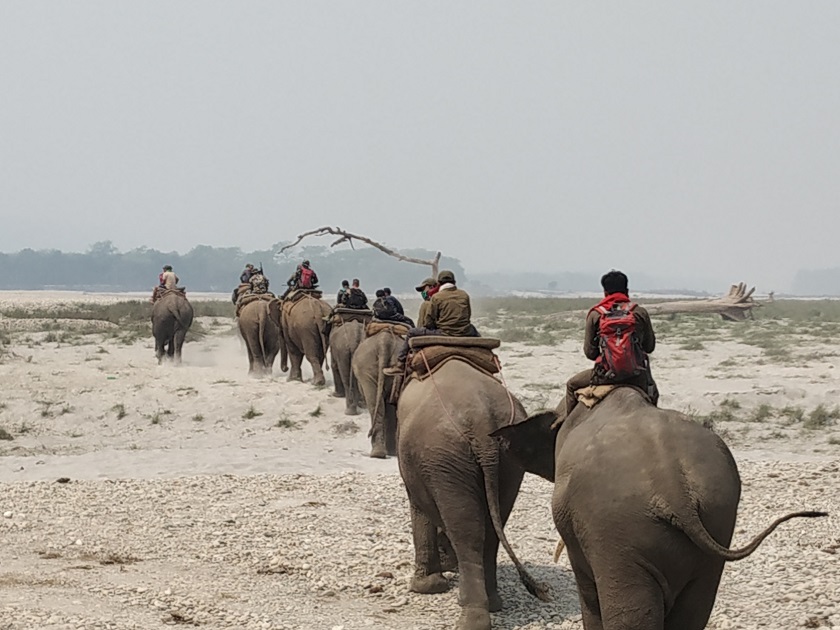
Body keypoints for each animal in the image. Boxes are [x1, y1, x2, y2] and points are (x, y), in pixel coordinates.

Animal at [352, 330, 404, 460]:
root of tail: (384, 342)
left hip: (366, 367)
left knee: (375, 404)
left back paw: (381, 453)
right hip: (381, 365)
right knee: (379, 404)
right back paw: (381, 453)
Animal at [398, 360, 548, 630]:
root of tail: (483, 426)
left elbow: (418, 507)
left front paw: (425, 587)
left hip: (446, 457)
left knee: (468, 533)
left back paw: (471, 617)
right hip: (507, 461)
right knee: (490, 529)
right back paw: (493, 603)